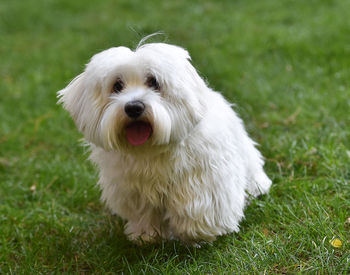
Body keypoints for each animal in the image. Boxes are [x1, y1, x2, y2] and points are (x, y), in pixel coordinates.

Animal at [57, 42, 272, 245]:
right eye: (117, 86)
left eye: (154, 82)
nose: (134, 107)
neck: (150, 150)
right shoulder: (132, 188)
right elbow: (143, 212)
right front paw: (145, 235)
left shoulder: (202, 178)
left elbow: (197, 207)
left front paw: (197, 234)